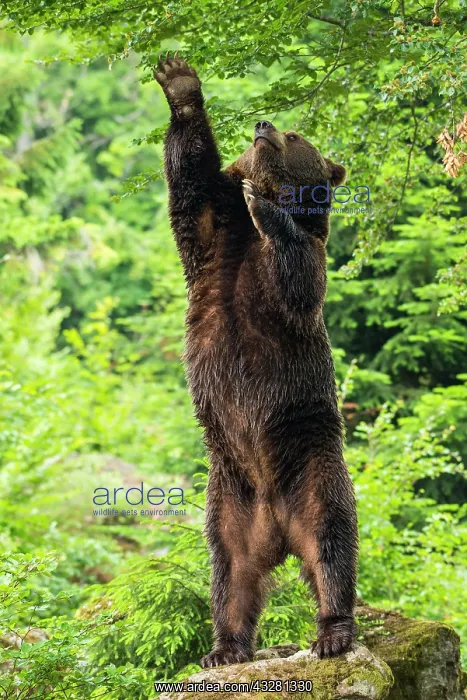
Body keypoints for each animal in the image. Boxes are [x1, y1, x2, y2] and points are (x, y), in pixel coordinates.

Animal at [154, 54, 358, 668]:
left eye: (296, 136)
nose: (264, 125)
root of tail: (278, 527)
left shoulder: (297, 269)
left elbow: (297, 275)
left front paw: (267, 205)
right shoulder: (214, 239)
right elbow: (191, 182)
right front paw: (180, 84)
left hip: (315, 465)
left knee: (333, 544)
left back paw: (333, 631)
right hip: (226, 501)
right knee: (229, 575)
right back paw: (224, 647)